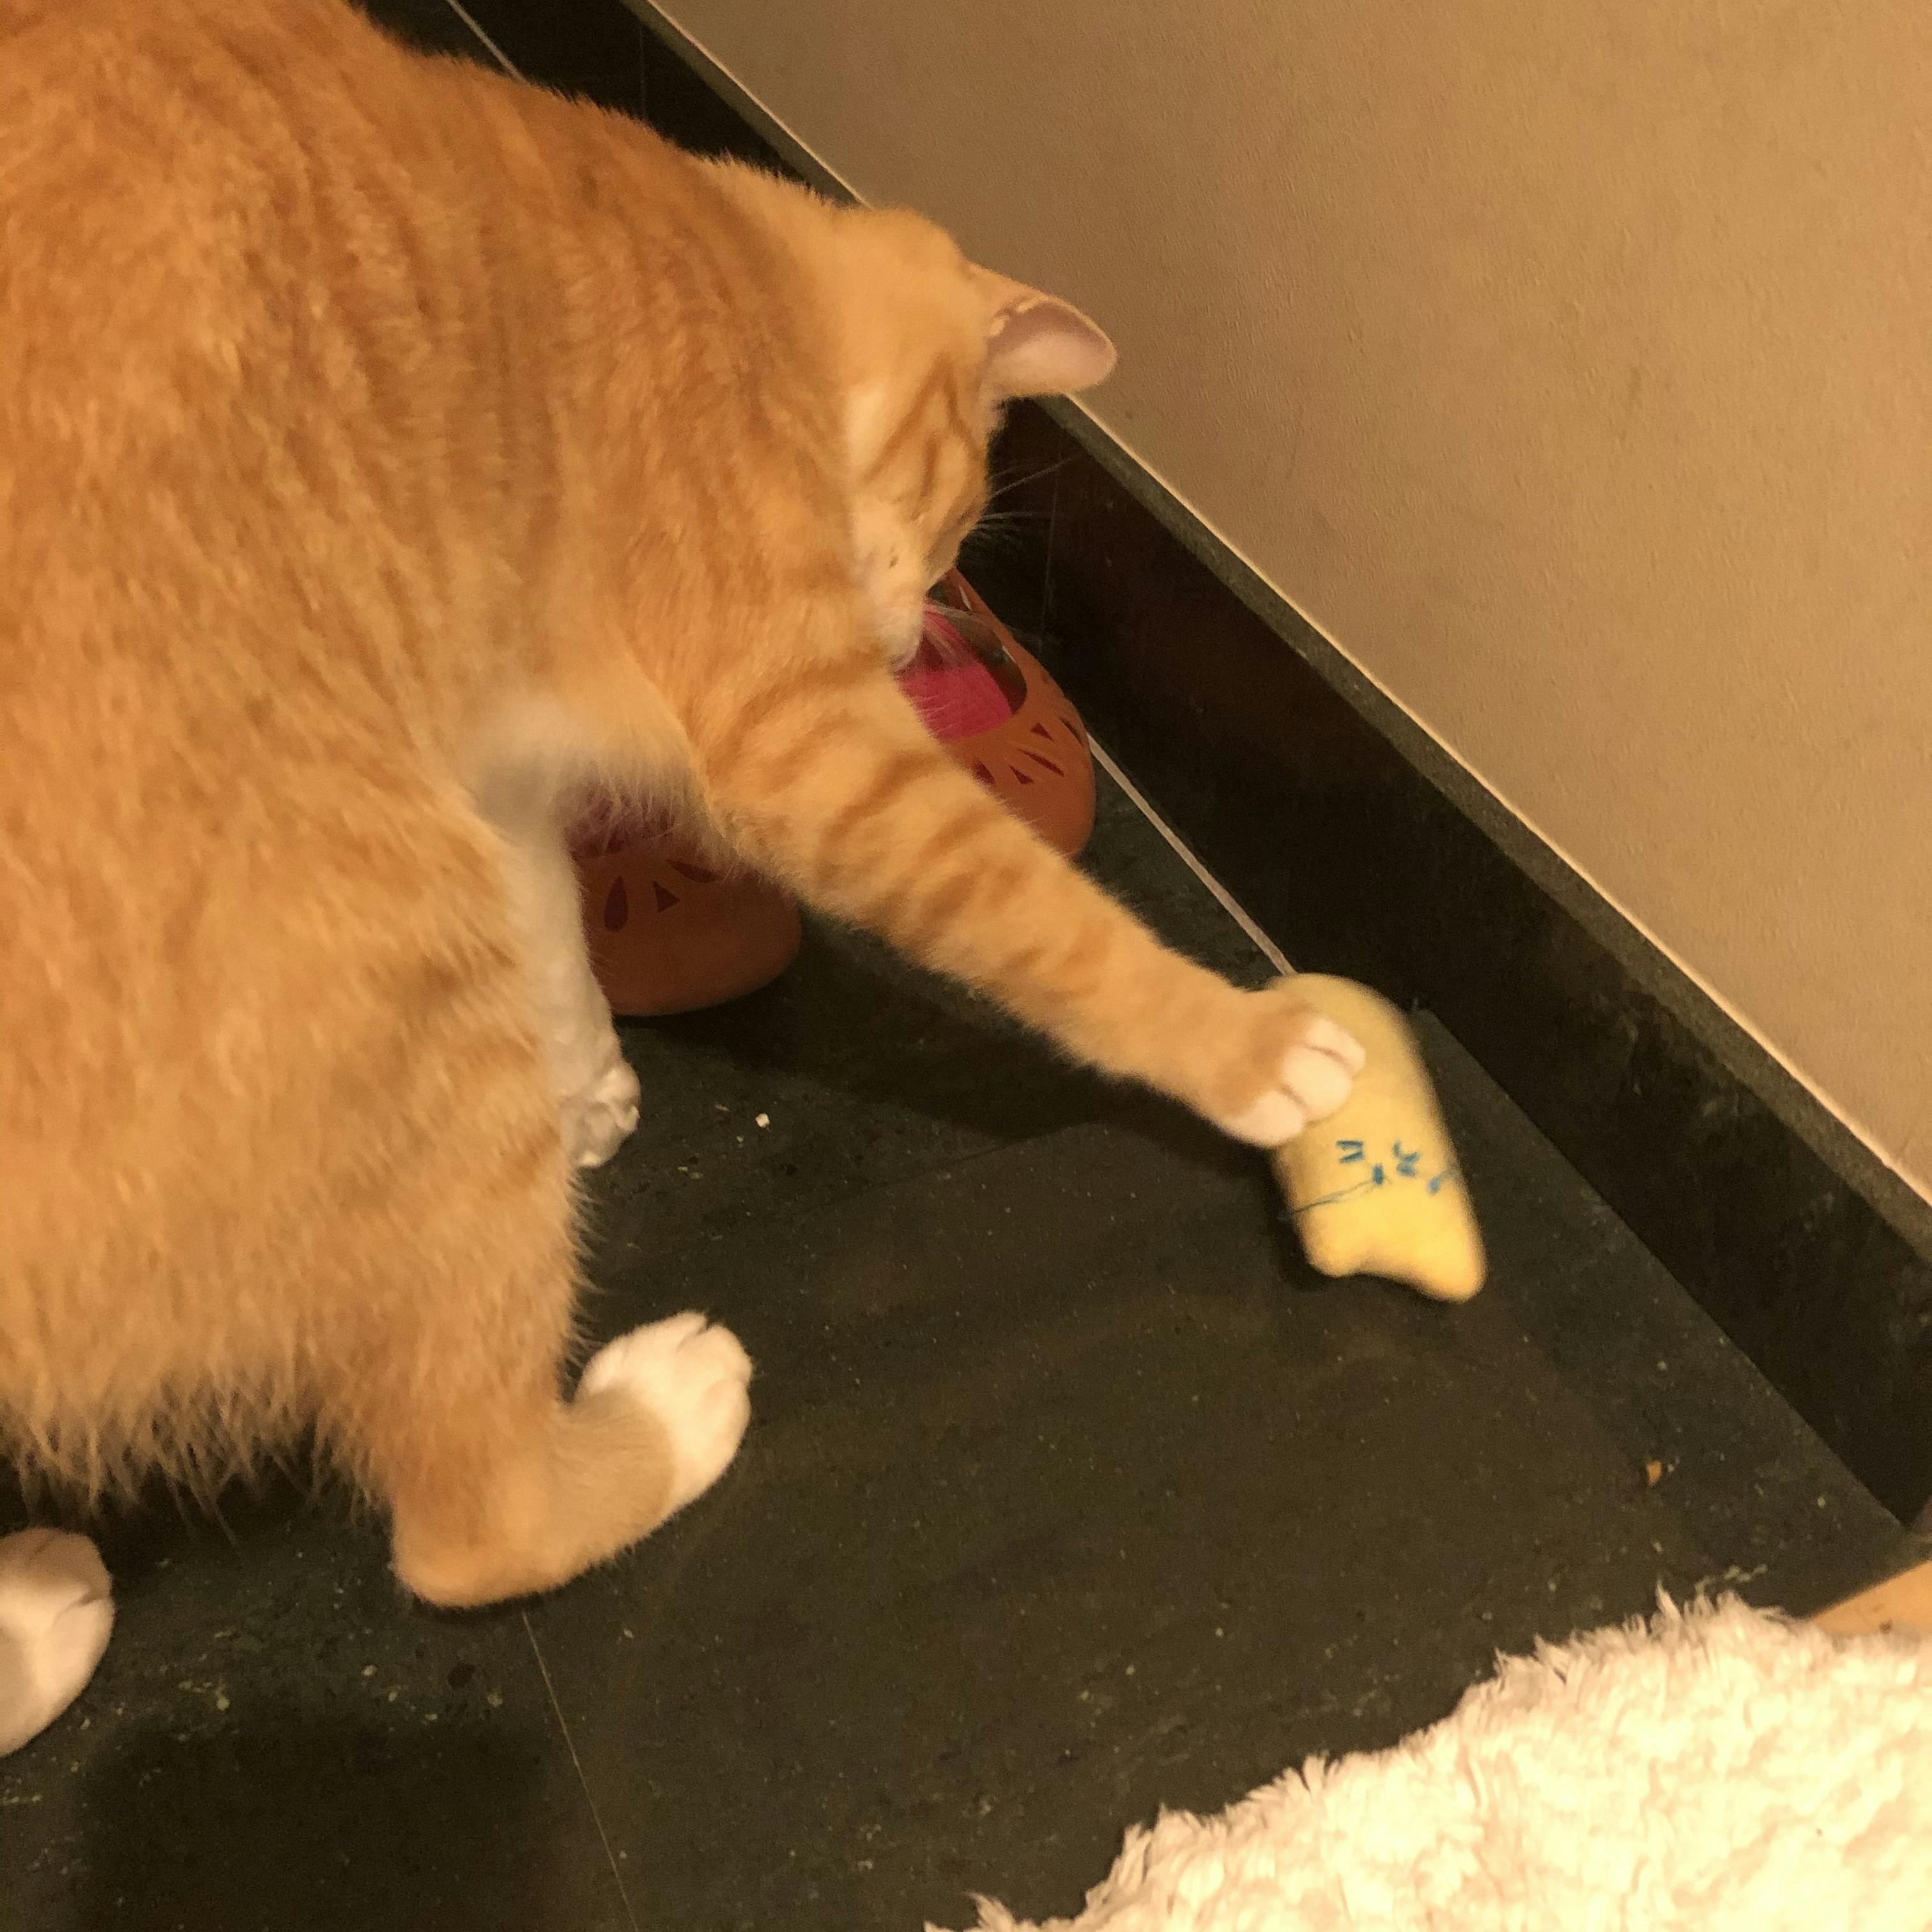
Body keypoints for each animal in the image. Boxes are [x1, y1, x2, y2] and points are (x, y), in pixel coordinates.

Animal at [0, 0, 1362, 1756]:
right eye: (962, 525)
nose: (916, 636)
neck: (741, 271)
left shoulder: (487, 749)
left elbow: (555, 932)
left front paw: (584, 1082)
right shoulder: (799, 740)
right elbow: (1058, 932)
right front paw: (1259, 1047)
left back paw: (38, 1620)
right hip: (407, 984)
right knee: (466, 1531)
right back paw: (663, 1413)